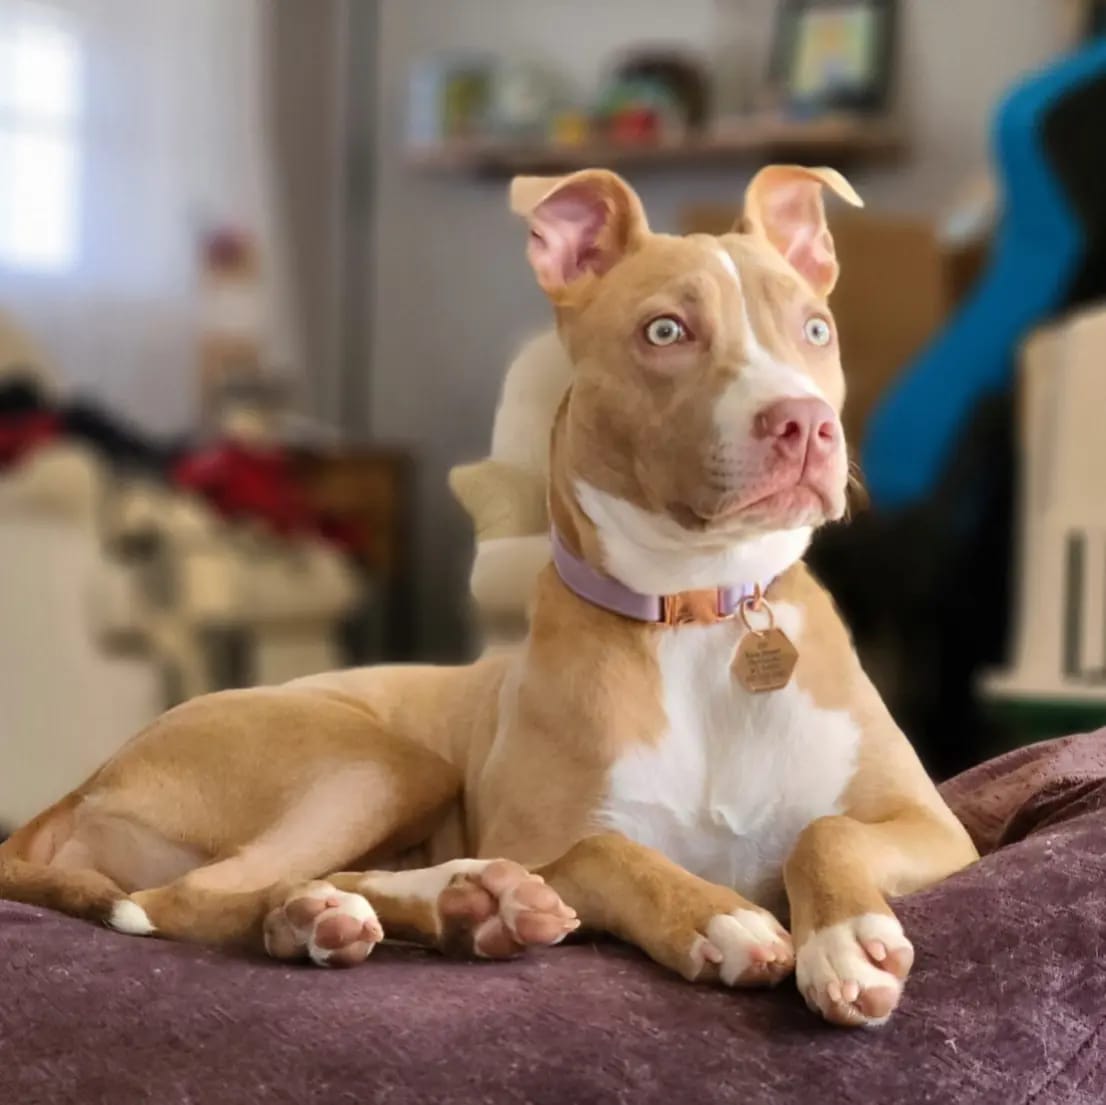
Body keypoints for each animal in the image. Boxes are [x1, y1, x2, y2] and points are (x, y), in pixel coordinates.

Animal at [0, 165, 977, 1026]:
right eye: (665, 333)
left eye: (814, 330)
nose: (803, 423)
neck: (700, 615)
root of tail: (85, 783)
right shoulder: (550, 840)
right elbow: (604, 846)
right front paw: (718, 914)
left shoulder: (935, 829)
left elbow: (829, 830)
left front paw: (846, 935)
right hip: (377, 759)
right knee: (192, 893)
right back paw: (373, 910)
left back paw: (451, 906)